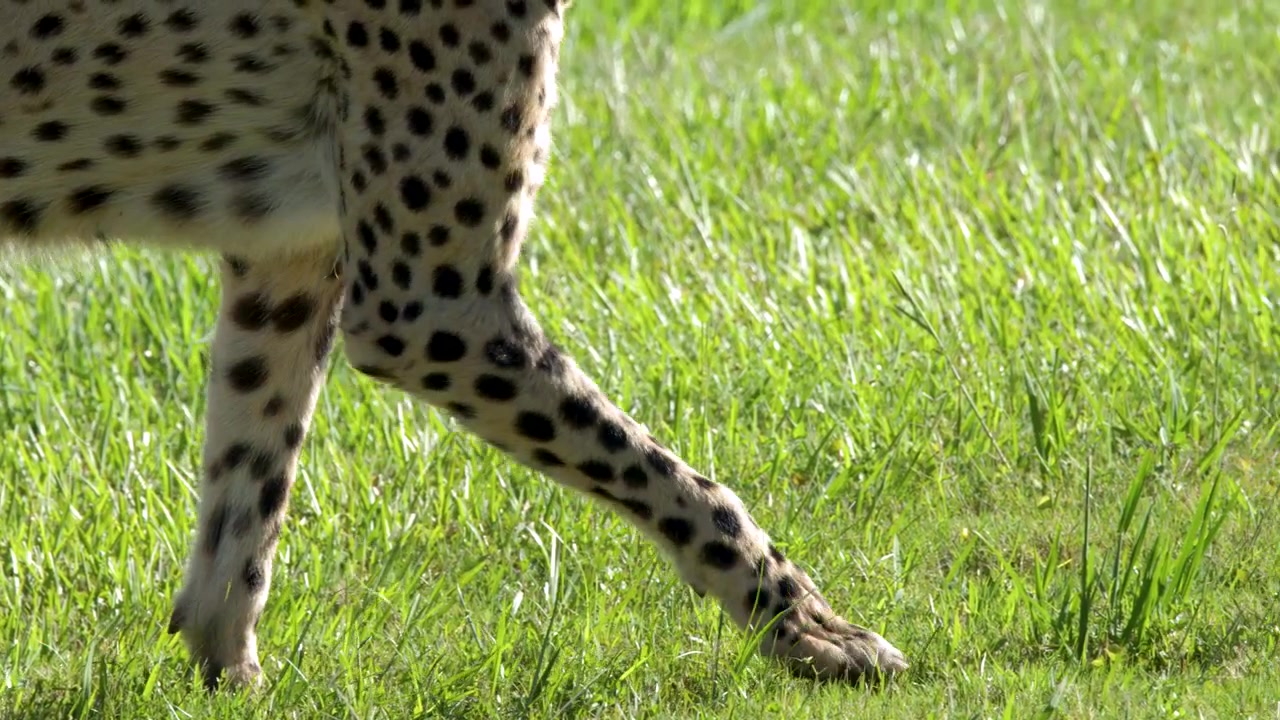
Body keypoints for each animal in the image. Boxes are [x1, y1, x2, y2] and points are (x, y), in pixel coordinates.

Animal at [0, 0, 908, 690]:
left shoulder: (292, 255)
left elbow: (249, 492)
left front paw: (230, 673)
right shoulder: (424, 306)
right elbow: (680, 481)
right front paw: (811, 629)